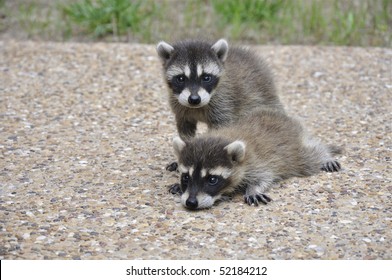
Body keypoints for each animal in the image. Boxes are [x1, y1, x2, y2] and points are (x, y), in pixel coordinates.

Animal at [170, 109, 342, 210]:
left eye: (212, 180)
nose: (191, 203)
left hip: (295, 153)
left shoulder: (257, 162)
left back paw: (325, 155)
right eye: (186, 177)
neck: (222, 137)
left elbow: (264, 177)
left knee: (310, 155)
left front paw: (253, 189)